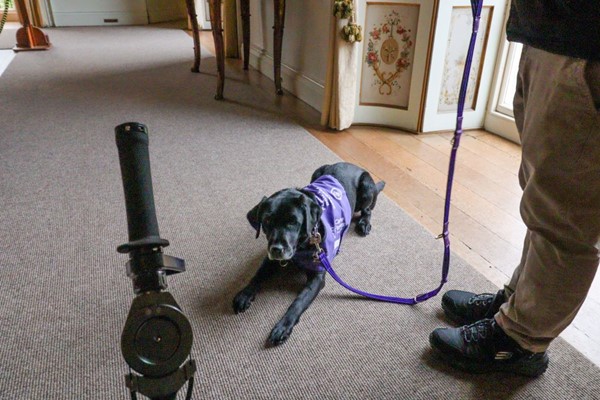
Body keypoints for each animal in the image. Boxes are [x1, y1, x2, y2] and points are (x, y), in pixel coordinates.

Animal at [234, 162, 384, 344]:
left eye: (293, 222)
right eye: (267, 221)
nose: (277, 249)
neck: (301, 247)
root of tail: (351, 164)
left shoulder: (317, 276)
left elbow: (298, 302)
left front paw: (282, 327)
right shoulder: (270, 259)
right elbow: (258, 275)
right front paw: (244, 294)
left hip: (366, 188)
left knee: (368, 210)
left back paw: (364, 224)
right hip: (317, 171)